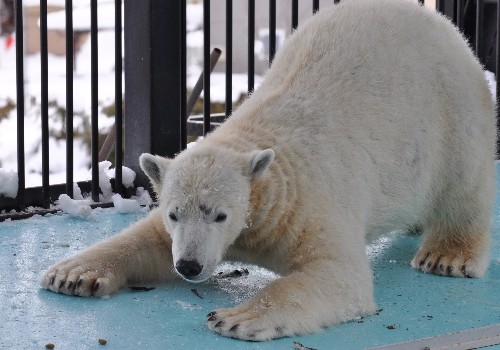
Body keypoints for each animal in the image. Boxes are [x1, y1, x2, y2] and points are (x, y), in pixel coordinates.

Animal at [40, 0, 496, 340]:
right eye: (174, 214)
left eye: (220, 215)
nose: (189, 266)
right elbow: (146, 241)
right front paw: (71, 274)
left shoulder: (305, 205)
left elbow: (336, 274)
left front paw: (236, 318)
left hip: (451, 112)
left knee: (463, 185)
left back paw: (446, 255)